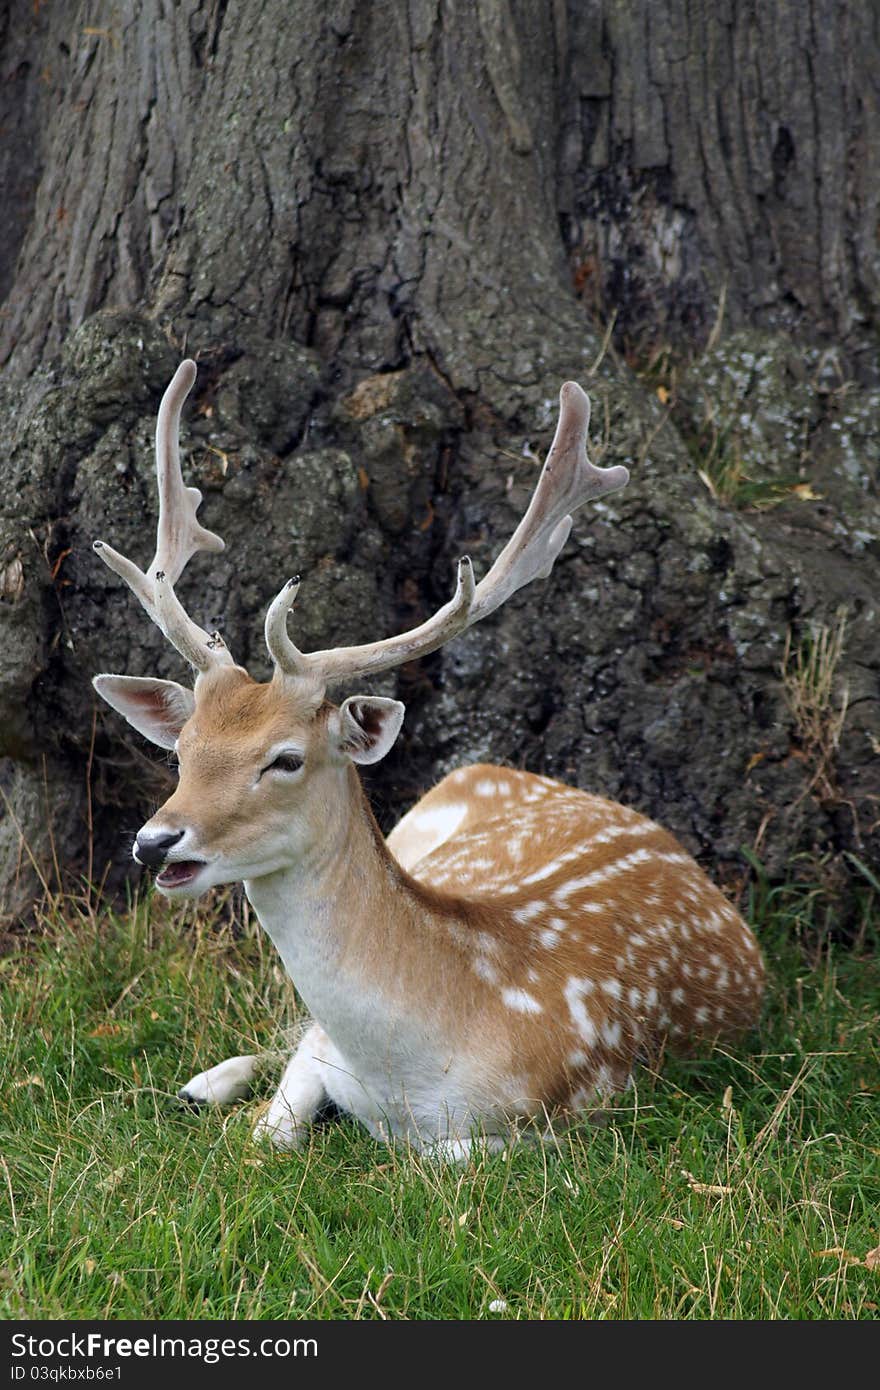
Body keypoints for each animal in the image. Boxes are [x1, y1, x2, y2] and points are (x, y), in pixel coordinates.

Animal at [91, 353, 761, 1156]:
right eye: (183, 752)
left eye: (285, 759)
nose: (155, 841)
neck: (406, 1071)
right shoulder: (323, 1054)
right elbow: (272, 1129)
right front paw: (233, 1099)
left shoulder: (552, 1123)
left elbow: (437, 1158)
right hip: (432, 810)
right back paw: (202, 1083)